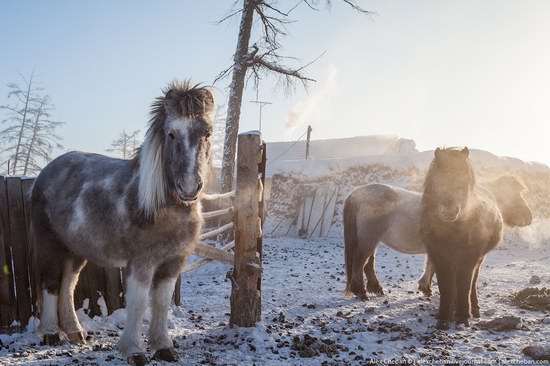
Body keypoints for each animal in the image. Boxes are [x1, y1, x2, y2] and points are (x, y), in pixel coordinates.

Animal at [422, 147, 520, 330]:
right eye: (438, 178)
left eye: (465, 179)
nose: (450, 212)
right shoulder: (440, 257)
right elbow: (446, 285)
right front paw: (444, 317)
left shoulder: (468, 258)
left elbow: (464, 284)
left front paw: (462, 316)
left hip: (479, 259)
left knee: (473, 282)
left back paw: (474, 307)